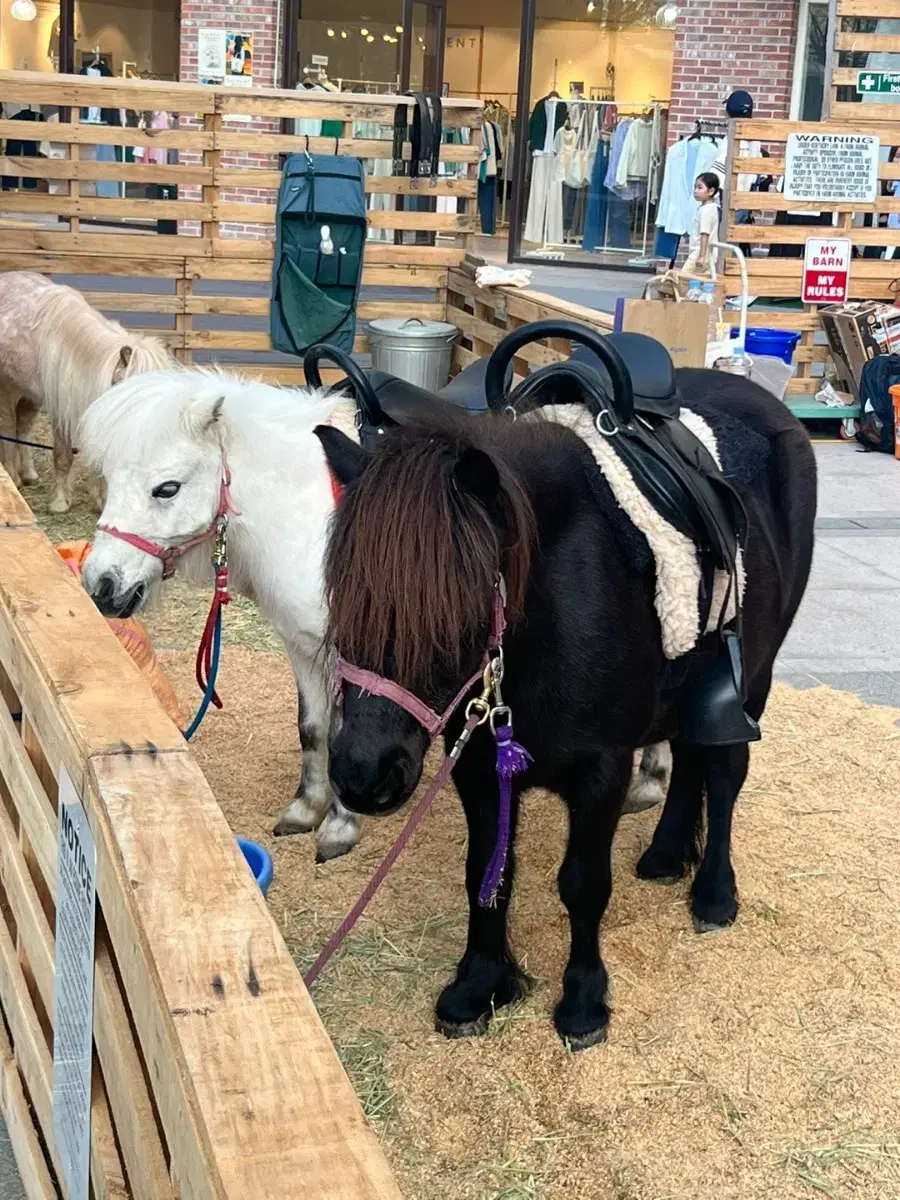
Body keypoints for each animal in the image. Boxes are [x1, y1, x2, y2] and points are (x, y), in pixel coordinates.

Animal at [0, 270, 174, 508]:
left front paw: (101, 500)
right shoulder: (60, 412)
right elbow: (63, 456)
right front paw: (61, 502)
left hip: (31, 396)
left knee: (23, 427)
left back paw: (28, 474)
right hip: (9, 390)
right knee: (9, 430)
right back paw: (14, 477)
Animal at [79, 364, 672, 864]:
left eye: (167, 488)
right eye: (109, 477)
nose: (100, 587)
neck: (308, 512)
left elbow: (348, 730)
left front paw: (340, 827)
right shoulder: (303, 647)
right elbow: (315, 728)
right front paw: (307, 808)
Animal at [316, 367, 816, 1051]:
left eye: (459, 606)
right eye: (345, 597)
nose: (363, 776)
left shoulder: (601, 772)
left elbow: (583, 885)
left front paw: (582, 1003)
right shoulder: (478, 765)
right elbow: (486, 873)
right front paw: (479, 986)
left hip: (752, 676)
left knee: (723, 775)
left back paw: (714, 893)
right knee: (690, 760)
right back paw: (666, 855)